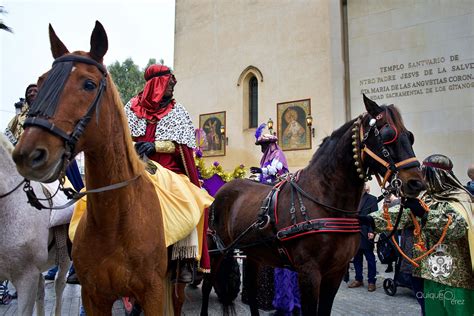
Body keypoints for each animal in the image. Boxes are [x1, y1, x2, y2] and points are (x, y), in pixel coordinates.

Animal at [11, 21, 185, 314]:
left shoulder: (153, 292)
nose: (29, 154)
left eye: (89, 84)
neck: (113, 223)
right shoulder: (94, 296)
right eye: (42, 81)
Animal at [202, 95, 424, 314]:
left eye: (410, 136)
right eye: (387, 133)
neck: (325, 201)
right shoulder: (309, 273)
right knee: (207, 282)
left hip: (254, 252)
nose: (416, 182)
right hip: (217, 249)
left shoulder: (335, 272)